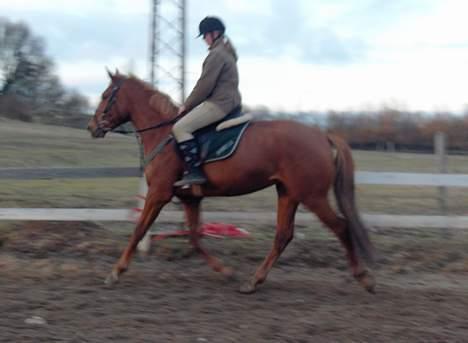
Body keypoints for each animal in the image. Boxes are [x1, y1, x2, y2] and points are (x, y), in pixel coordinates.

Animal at [86, 71, 374, 294]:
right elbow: (195, 237)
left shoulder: (158, 193)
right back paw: (253, 281)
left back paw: (363, 277)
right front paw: (225, 271)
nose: (91, 127)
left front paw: (115, 272)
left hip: (311, 196)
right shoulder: (190, 198)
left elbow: (139, 230)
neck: (164, 134)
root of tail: (322, 135)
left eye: (105, 96)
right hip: (288, 193)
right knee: (283, 235)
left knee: (341, 226)